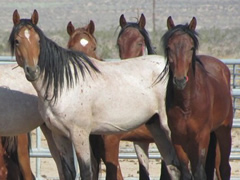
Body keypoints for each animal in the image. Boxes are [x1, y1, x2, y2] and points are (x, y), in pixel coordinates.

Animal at [10, 9, 181, 180]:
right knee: (173, 166)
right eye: (17, 41)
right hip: (157, 129)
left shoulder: (81, 136)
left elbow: (87, 172)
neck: (64, 85)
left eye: (38, 40)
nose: (33, 71)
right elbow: (68, 173)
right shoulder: (60, 136)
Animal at [161, 16, 232, 179]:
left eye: (191, 48)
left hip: (224, 131)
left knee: (224, 168)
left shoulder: (202, 137)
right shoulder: (178, 138)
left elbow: (200, 172)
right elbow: (186, 172)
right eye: (169, 48)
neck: (187, 103)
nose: (180, 80)